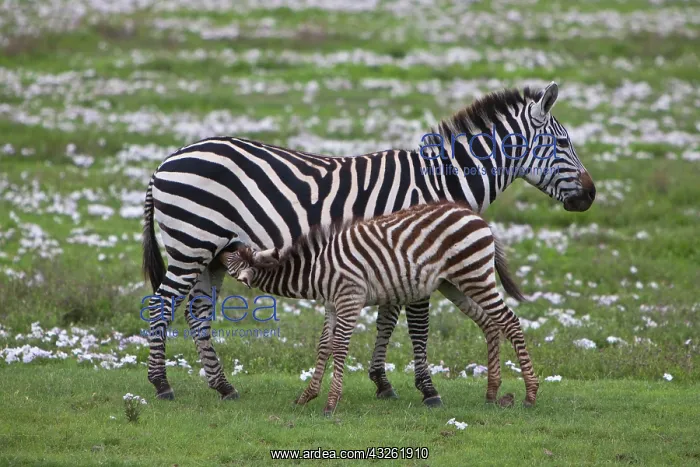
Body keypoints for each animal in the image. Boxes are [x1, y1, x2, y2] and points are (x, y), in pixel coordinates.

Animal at [218, 201, 537, 415]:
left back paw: (530, 394)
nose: (223, 244)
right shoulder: (331, 304)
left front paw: (331, 404)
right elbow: (324, 346)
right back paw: (492, 392)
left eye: (231, 259)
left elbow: (340, 346)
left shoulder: (349, 299)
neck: (316, 269)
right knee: (490, 323)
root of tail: (476, 216)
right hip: (455, 284)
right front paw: (307, 395)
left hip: (475, 275)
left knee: (510, 321)